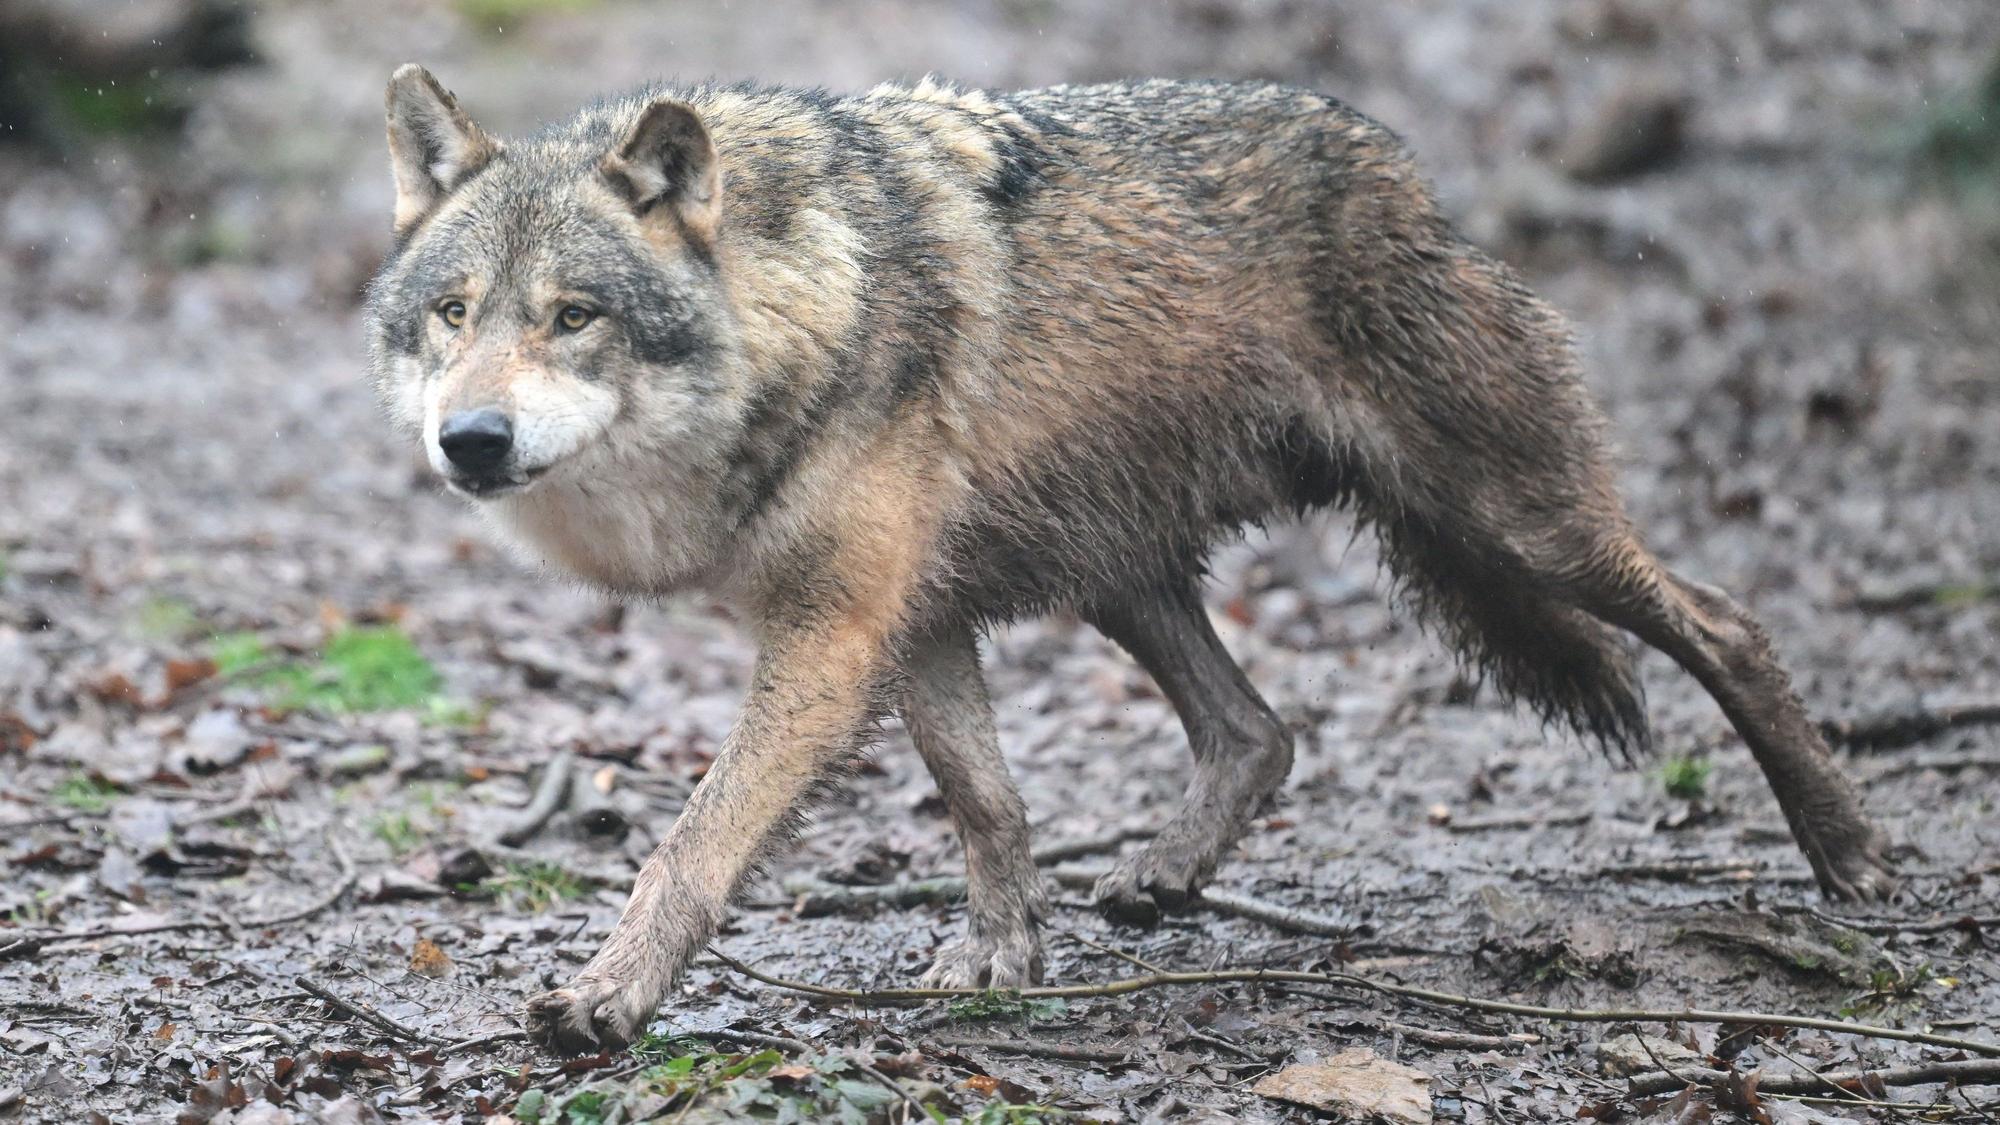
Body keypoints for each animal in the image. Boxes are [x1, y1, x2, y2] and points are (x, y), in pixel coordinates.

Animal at [364, 65, 1895, 1052]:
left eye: (572, 316)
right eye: (453, 312)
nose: (471, 441)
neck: (801, 307)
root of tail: (1405, 171)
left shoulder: (834, 634)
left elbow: (691, 843)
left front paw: (606, 998)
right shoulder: (912, 620)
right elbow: (986, 800)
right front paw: (1001, 957)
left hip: (1515, 523)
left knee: (1726, 621)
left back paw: (1849, 856)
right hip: (1121, 572)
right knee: (1260, 730)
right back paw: (1161, 876)